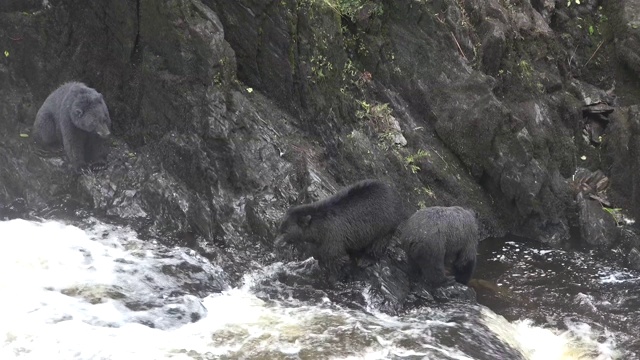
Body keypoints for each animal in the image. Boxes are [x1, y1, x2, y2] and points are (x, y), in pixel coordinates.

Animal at [274, 179, 404, 278]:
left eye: (285, 232)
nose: (276, 243)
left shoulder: (332, 237)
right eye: (280, 228)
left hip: (384, 225)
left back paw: (366, 259)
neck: (319, 230)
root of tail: (394, 194)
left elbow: (337, 258)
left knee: (378, 244)